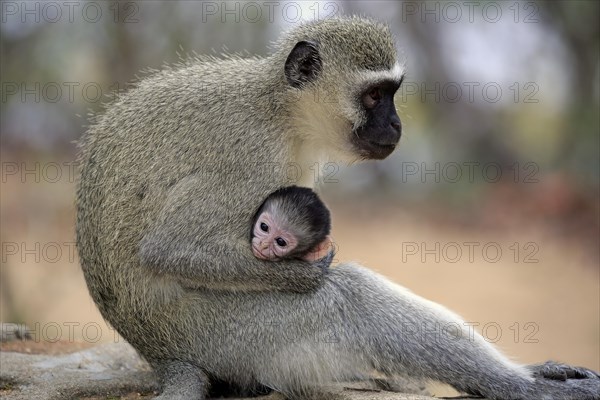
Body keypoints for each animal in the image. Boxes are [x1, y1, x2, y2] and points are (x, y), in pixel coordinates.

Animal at [76, 16, 600, 400]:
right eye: (374, 96)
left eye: (392, 93)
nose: (397, 125)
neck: (280, 109)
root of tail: (156, 351)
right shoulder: (250, 156)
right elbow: (168, 250)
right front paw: (307, 273)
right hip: (223, 333)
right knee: (350, 296)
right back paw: (521, 386)